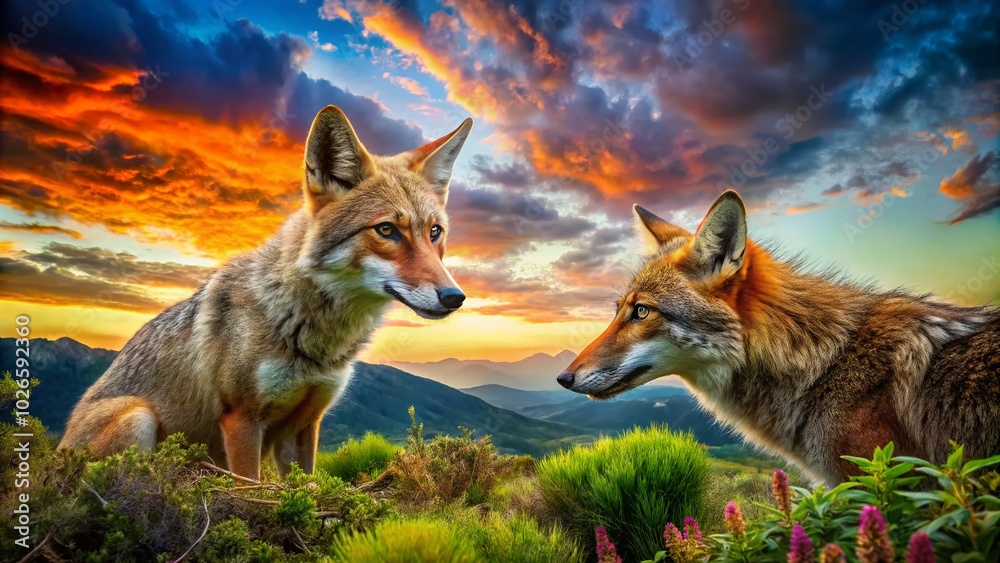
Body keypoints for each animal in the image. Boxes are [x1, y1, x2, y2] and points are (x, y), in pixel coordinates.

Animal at [59, 106, 474, 480]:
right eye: (386, 230)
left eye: (435, 232)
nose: (454, 297)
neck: (311, 336)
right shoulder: (242, 419)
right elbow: (251, 485)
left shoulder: (304, 425)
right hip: (139, 417)